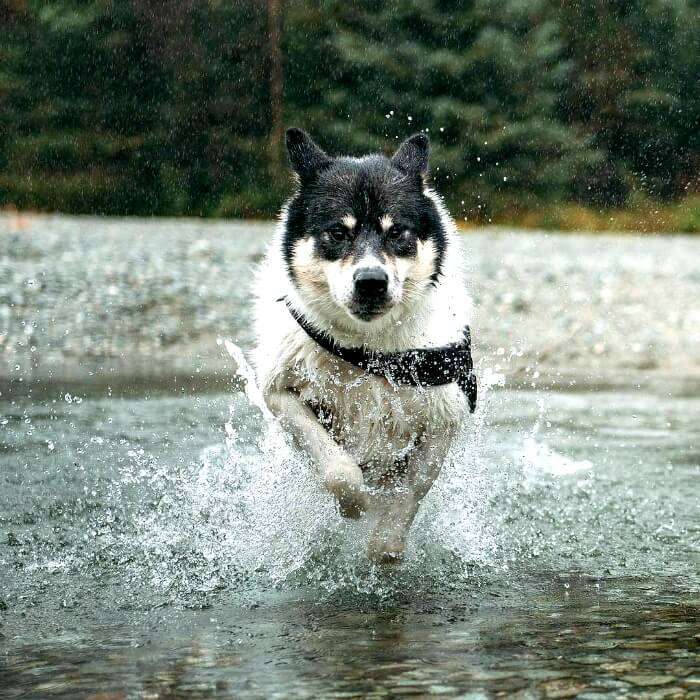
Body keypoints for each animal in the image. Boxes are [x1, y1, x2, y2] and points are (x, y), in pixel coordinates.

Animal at [252, 127, 476, 564]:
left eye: (397, 232)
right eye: (338, 232)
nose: (371, 282)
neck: (369, 350)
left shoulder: (444, 411)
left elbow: (415, 484)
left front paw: (386, 544)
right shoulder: (279, 388)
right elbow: (338, 469)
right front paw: (355, 505)